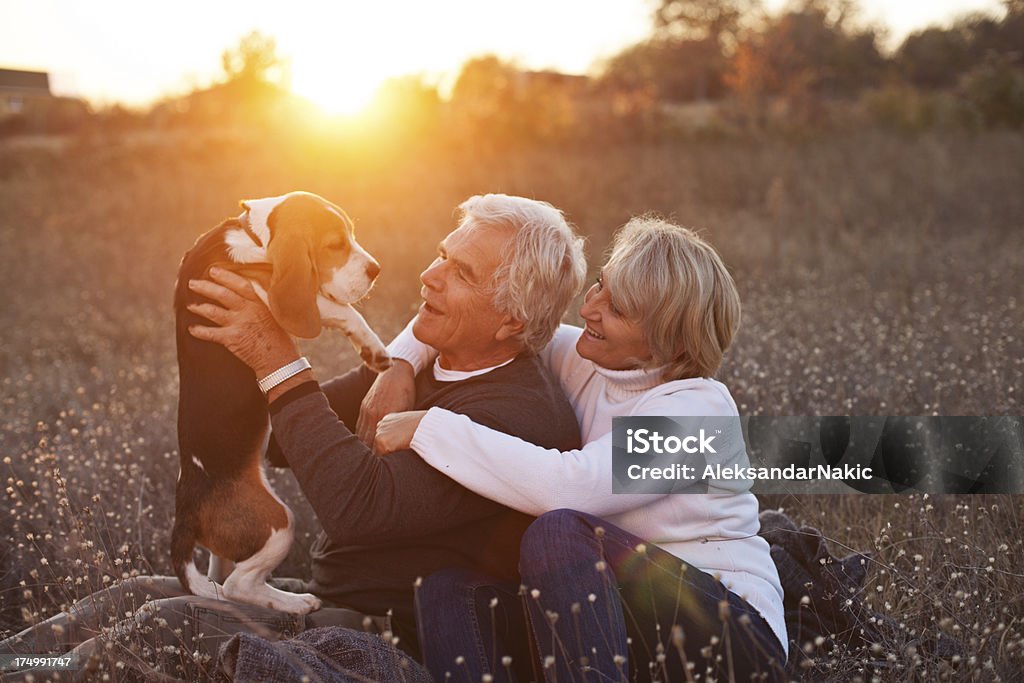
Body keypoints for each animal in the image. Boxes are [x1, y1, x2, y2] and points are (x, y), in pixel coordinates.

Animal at [172, 191, 387, 614]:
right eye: (335, 244)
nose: (375, 270)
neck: (252, 233)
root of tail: (185, 512)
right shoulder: (265, 289)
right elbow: (340, 309)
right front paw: (373, 347)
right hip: (279, 521)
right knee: (238, 586)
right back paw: (295, 602)